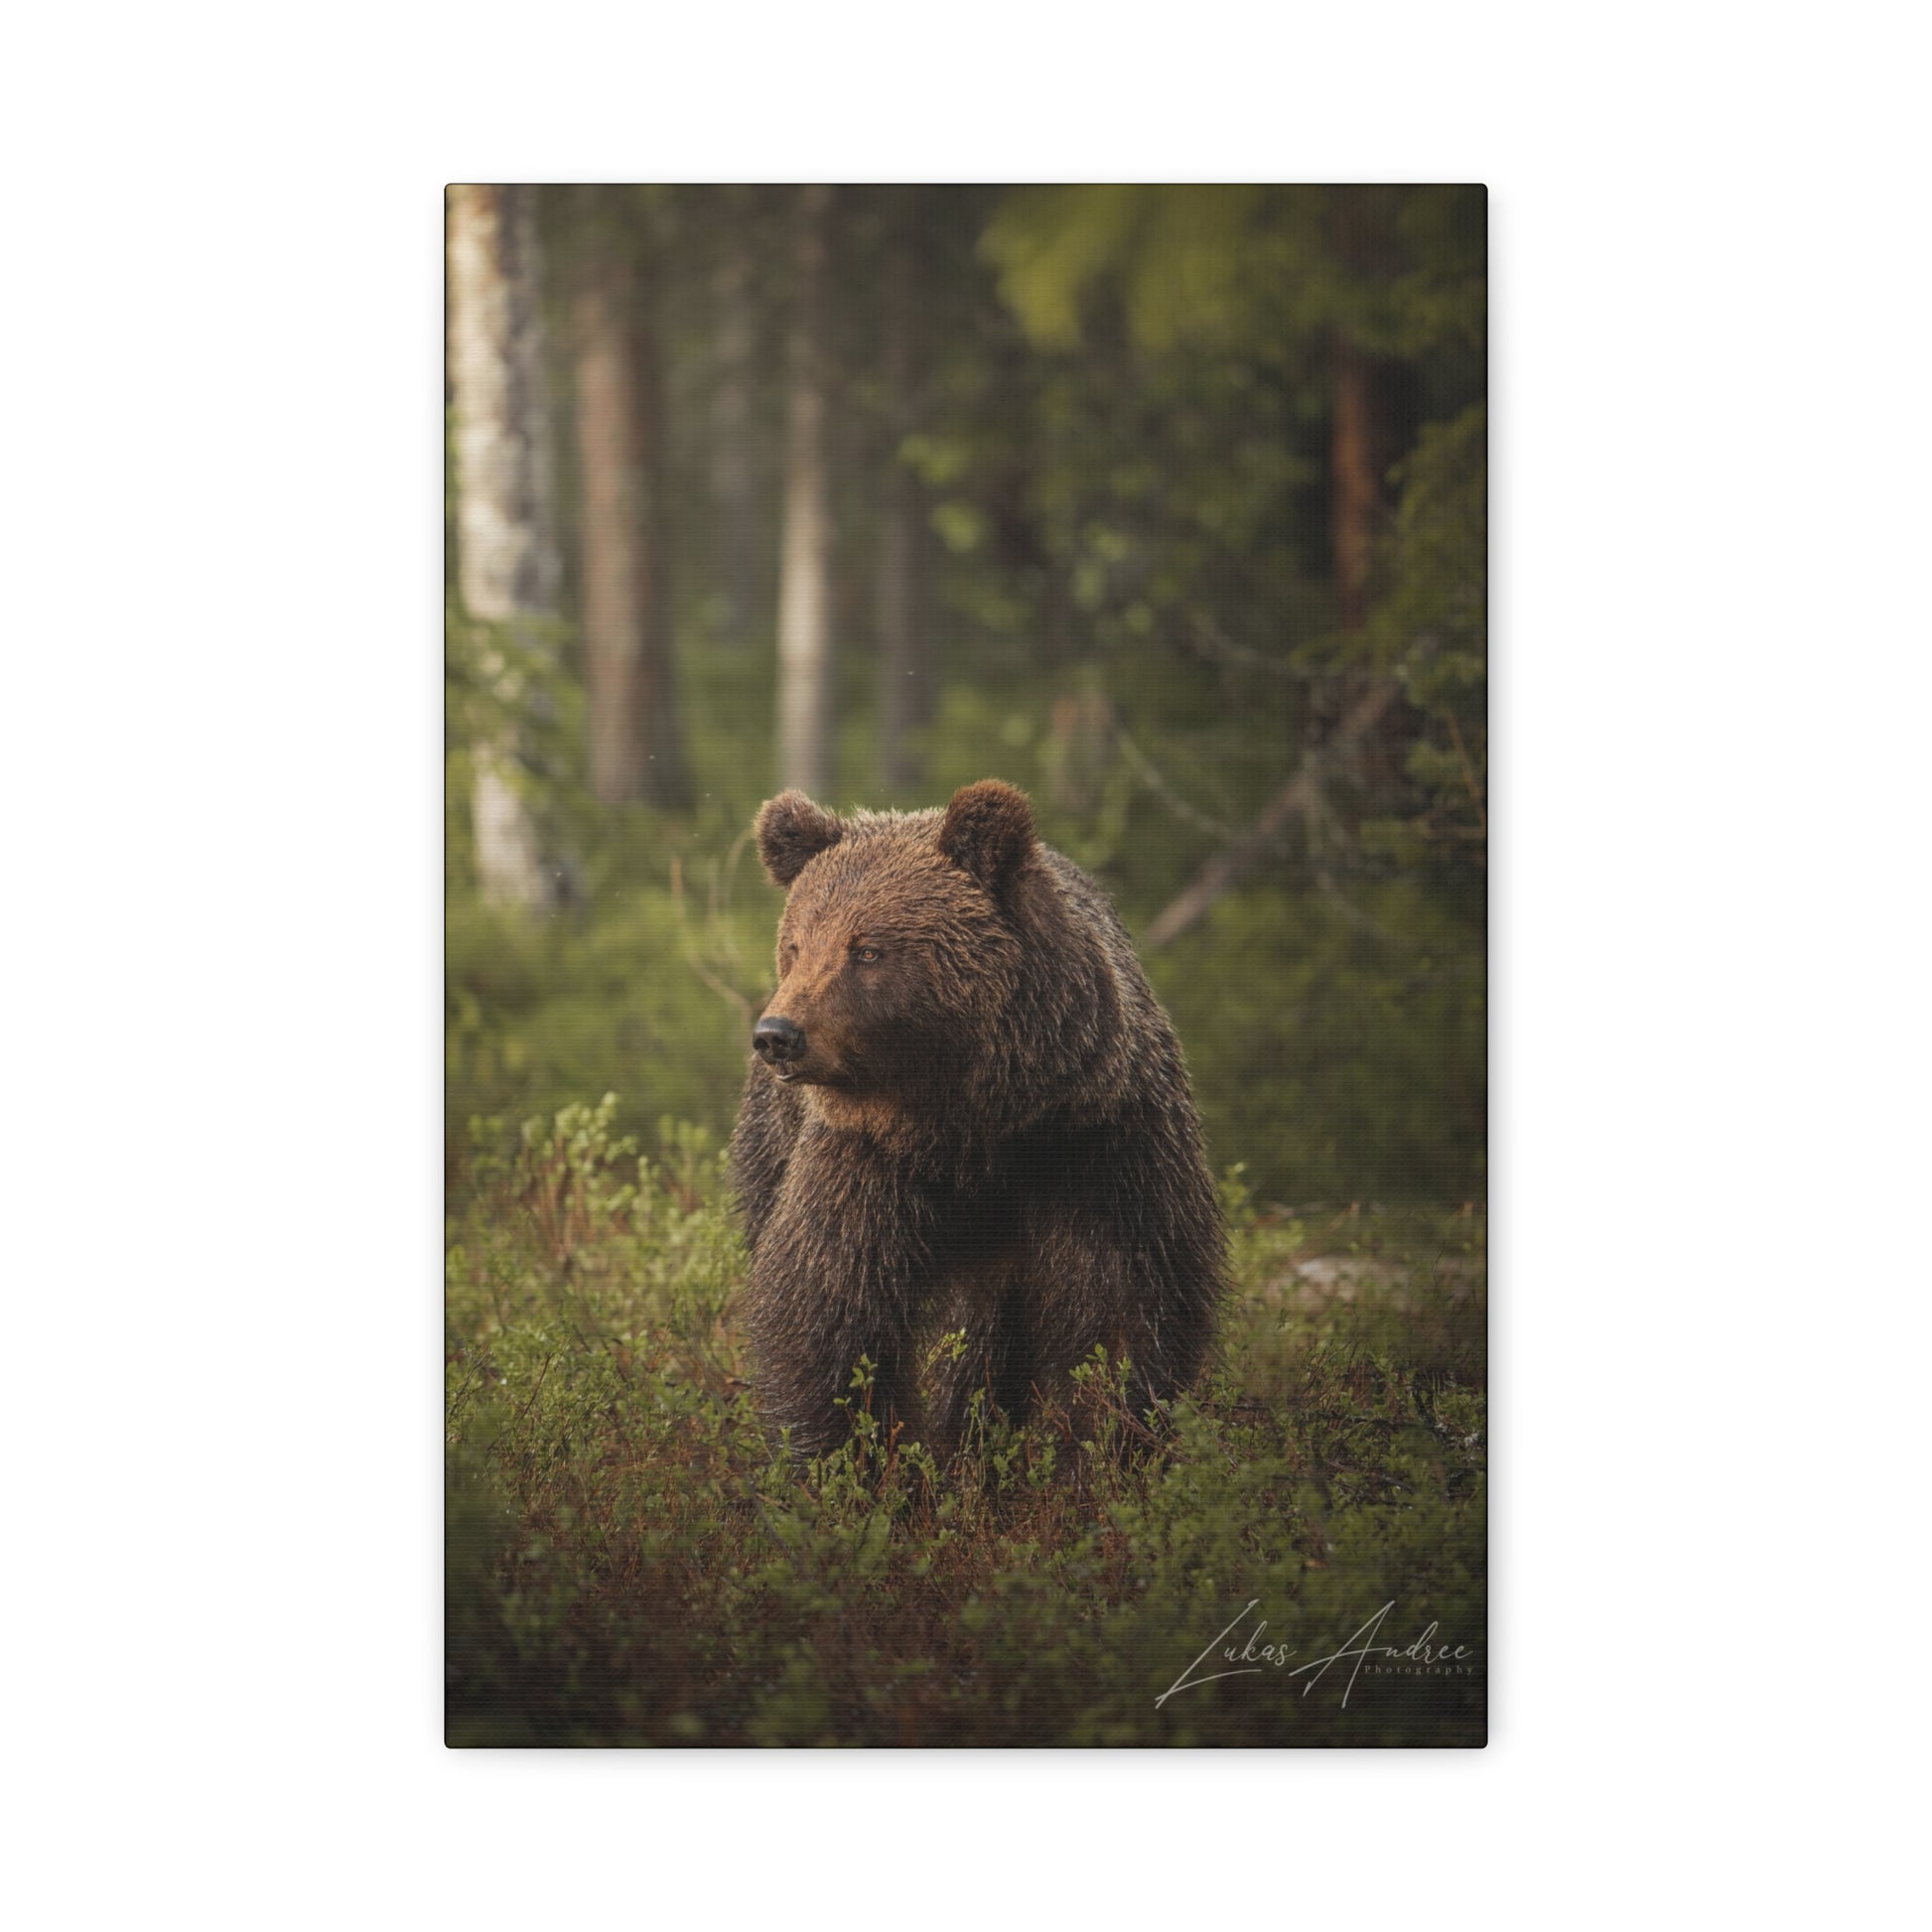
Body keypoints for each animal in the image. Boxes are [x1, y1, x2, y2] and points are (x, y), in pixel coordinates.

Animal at [729, 779, 1225, 1458]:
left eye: (868, 949)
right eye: (796, 945)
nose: (778, 1035)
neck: (973, 1123)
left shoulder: (1098, 1147)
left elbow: (1126, 1310)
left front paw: (1102, 1449)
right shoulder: (867, 1161)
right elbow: (829, 1310)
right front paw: (850, 1460)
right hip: (772, 1141)